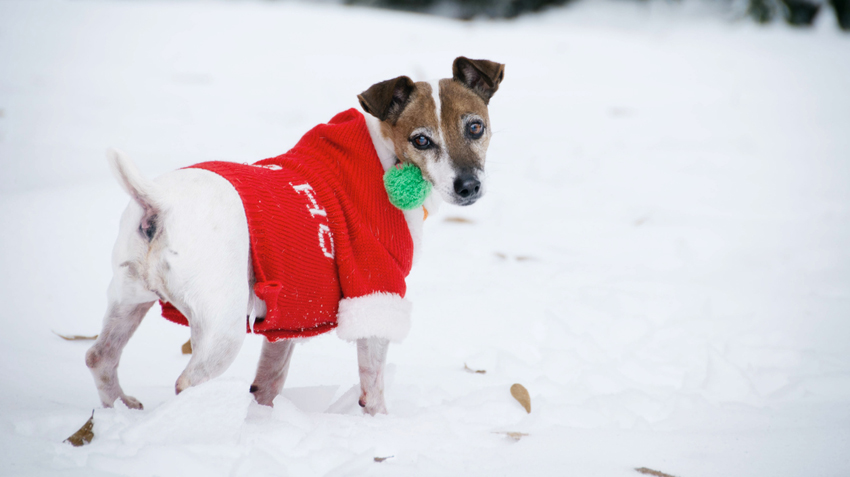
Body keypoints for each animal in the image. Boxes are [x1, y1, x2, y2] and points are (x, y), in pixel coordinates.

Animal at [86, 55, 504, 414]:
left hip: (128, 299)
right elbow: (372, 384)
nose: (468, 186)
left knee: (100, 356)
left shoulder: (292, 313)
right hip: (222, 327)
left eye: (475, 127)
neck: (384, 159)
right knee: (187, 382)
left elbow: (269, 380)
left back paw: (118, 409)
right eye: (421, 140)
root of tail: (161, 203)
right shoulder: (373, 287)